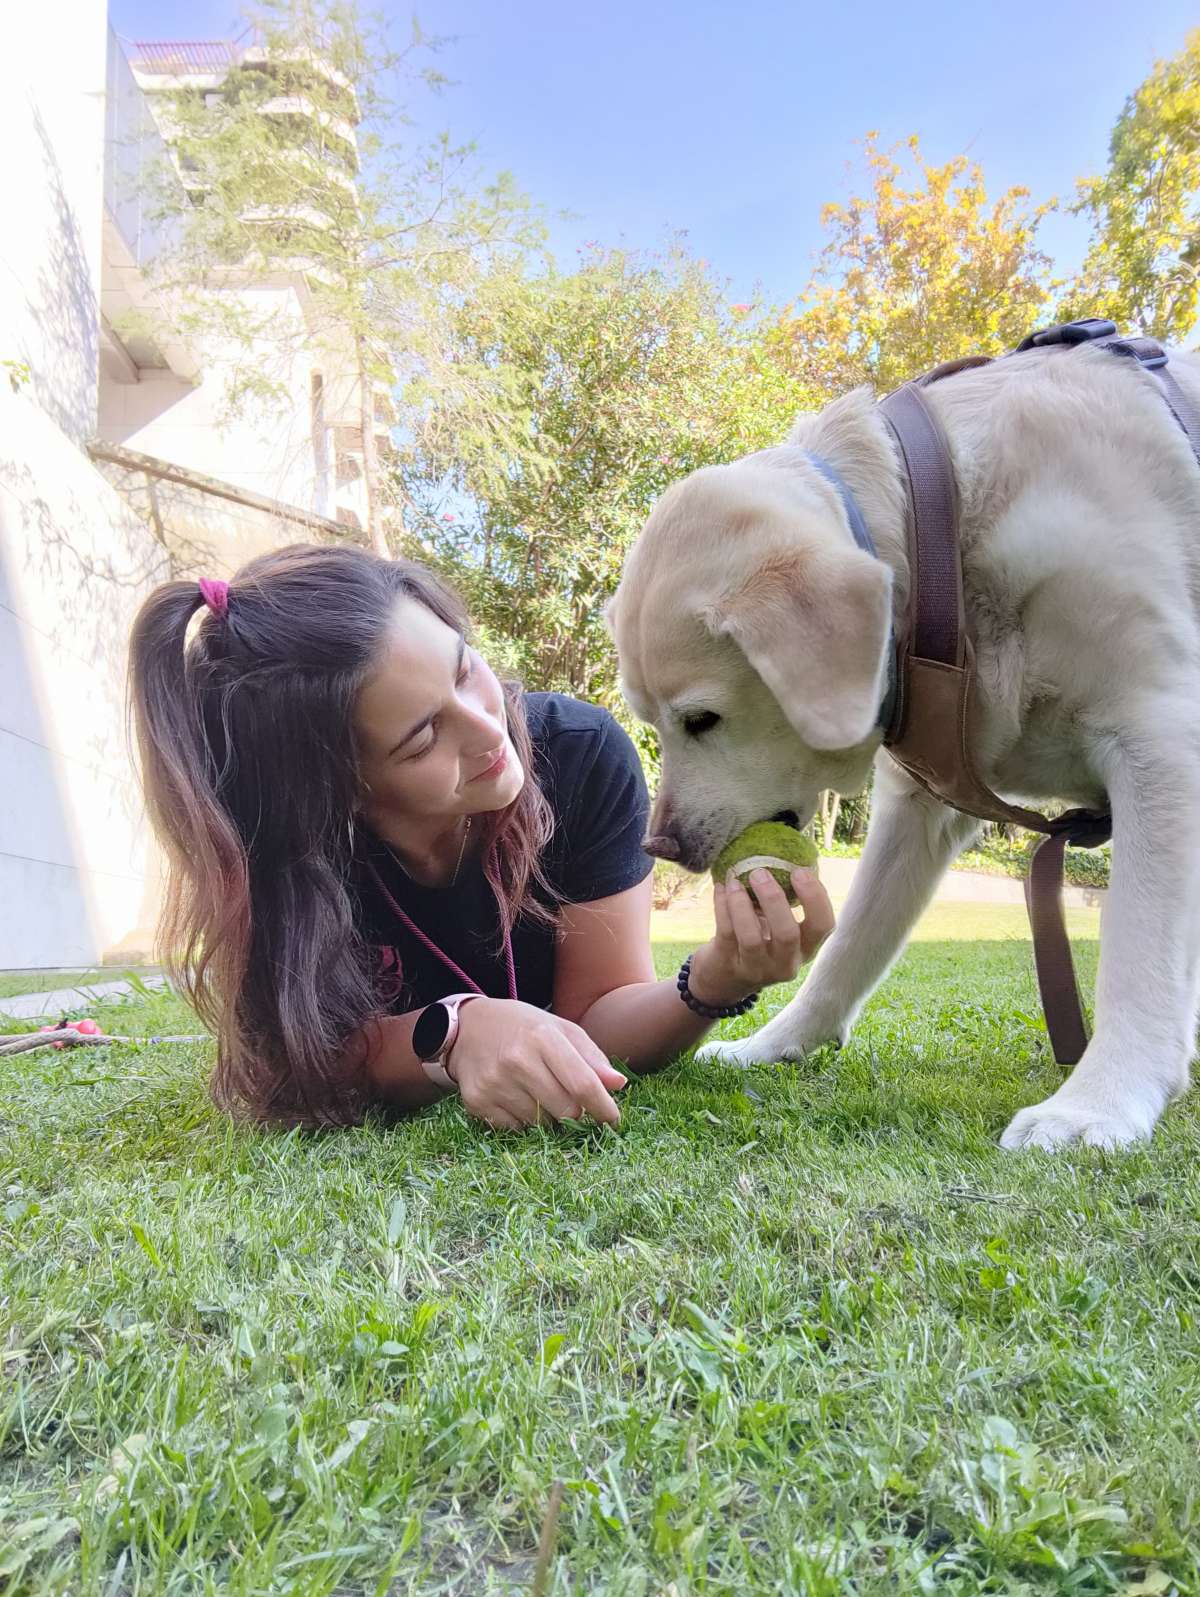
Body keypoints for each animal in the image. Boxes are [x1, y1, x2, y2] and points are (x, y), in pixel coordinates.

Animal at [610, 346, 1200, 1149]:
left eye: (701, 719)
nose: (659, 844)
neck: (947, 528)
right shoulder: (921, 804)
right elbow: (850, 944)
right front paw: (778, 1042)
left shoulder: (1159, 738)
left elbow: (1139, 947)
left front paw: (1101, 1102)